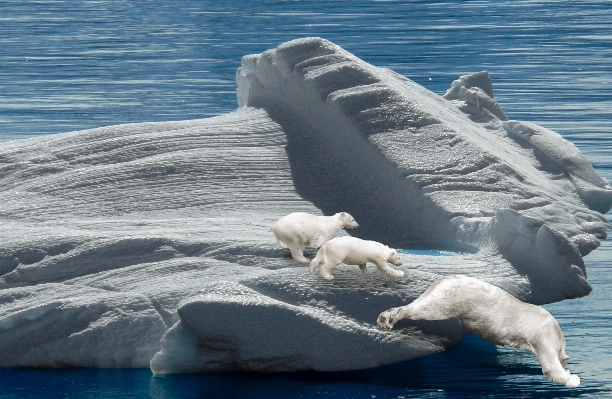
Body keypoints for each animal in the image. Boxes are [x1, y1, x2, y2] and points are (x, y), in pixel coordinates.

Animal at [376, 276, 580, 388]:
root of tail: (446, 278)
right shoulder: (542, 336)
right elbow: (551, 368)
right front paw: (572, 379)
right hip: (451, 300)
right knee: (425, 309)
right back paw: (391, 318)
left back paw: (384, 319)